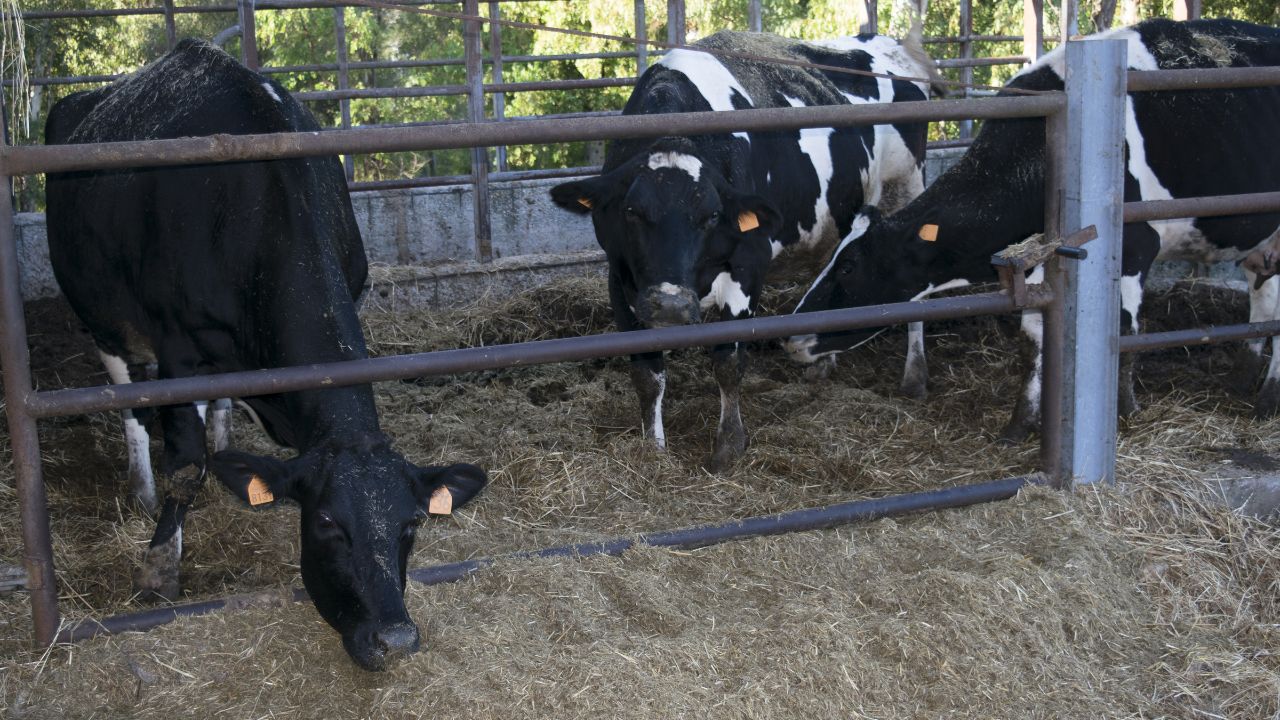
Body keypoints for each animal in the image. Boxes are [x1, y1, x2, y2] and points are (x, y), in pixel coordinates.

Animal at [44, 39, 487, 671]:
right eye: (325, 522)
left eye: (411, 524)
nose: (395, 638)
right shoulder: (179, 351)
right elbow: (186, 466)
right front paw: (158, 569)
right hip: (105, 322)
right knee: (131, 402)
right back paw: (142, 488)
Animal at [550, 28, 937, 469]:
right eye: (631, 211)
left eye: (712, 215)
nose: (672, 305)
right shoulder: (620, 276)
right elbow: (646, 373)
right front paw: (653, 449)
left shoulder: (749, 265)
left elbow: (728, 362)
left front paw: (729, 446)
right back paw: (821, 366)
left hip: (906, 188)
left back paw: (914, 376)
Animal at [785, 18, 1280, 440]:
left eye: (849, 267)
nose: (791, 338)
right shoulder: (1037, 261)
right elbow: (1032, 341)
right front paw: (1019, 425)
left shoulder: (1134, 248)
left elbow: (1125, 332)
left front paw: (1122, 414)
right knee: (1264, 300)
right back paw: (1243, 380)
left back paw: (1266, 401)